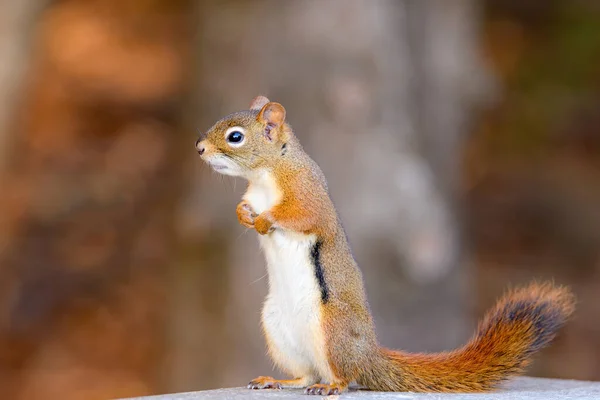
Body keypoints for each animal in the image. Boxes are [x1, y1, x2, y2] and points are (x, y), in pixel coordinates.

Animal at [195, 95, 576, 396]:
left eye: (235, 137)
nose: (199, 148)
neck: (265, 174)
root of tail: (368, 355)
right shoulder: (254, 195)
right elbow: (245, 207)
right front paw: (244, 216)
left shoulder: (307, 194)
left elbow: (302, 216)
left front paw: (263, 221)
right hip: (278, 329)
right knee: (306, 375)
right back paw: (278, 381)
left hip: (333, 329)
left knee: (342, 376)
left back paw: (332, 386)